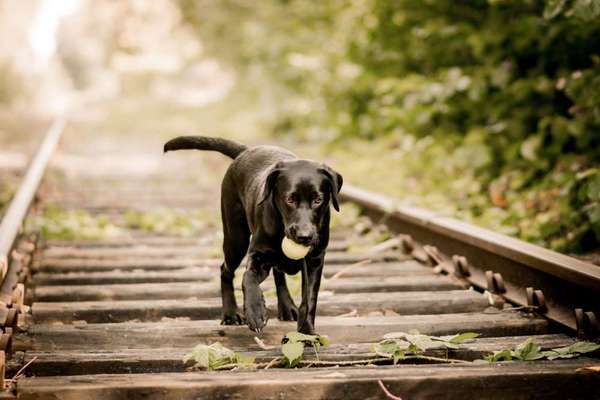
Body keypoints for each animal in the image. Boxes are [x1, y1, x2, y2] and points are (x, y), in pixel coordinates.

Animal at [164, 138, 342, 334]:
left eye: (318, 200)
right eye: (290, 200)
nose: (305, 236)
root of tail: (246, 151)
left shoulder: (314, 260)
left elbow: (309, 299)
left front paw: (306, 331)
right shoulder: (258, 255)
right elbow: (247, 278)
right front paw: (255, 312)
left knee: (278, 274)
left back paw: (286, 307)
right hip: (236, 239)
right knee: (226, 270)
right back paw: (230, 314)